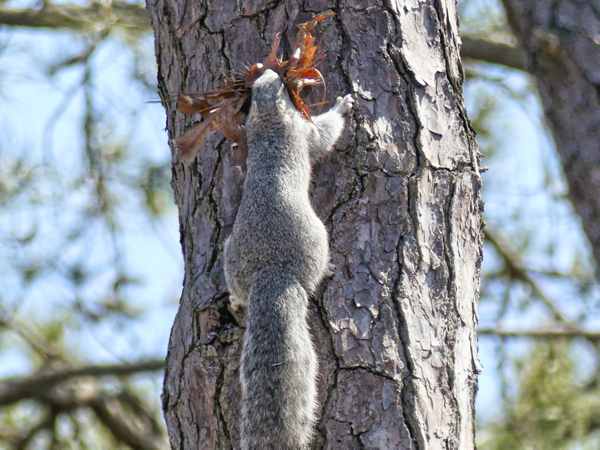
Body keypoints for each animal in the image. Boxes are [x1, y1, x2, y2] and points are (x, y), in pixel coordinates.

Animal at [224, 67, 354, 450]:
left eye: (257, 88)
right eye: (280, 85)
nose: (269, 69)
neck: (269, 120)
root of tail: (272, 272)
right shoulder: (305, 132)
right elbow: (324, 136)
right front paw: (342, 106)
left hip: (232, 255)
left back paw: (237, 300)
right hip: (315, 238)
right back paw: (326, 269)